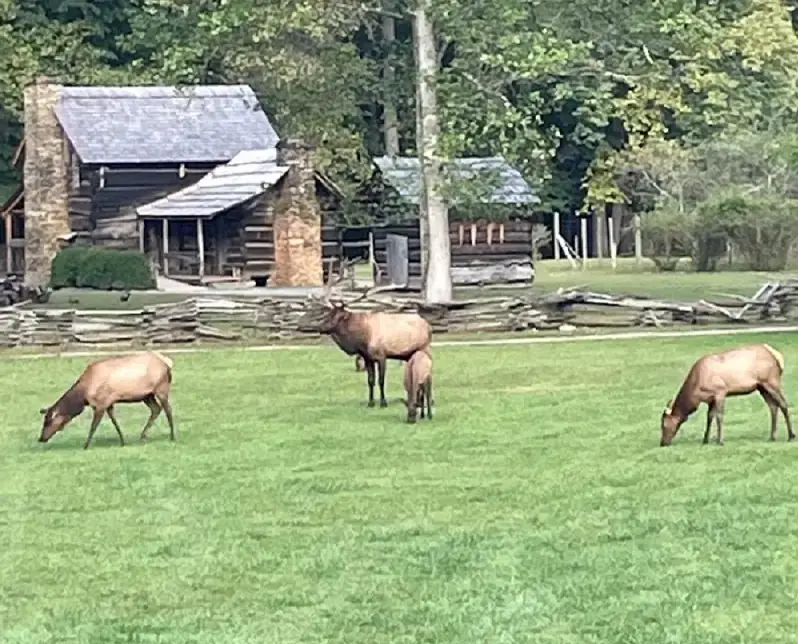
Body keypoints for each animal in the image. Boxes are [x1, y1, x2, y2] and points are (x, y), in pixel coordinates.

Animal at [38, 351, 176, 450]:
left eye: (47, 422)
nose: (41, 438)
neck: (83, 396)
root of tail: (167, 364)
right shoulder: (109, 403)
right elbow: (115, 423)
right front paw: (122, 441)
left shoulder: (100, 404)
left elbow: (93, 426)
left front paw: (86, 445)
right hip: (147, 396)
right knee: (156, 409)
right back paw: (142, 436)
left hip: (161, 389)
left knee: (168, 410)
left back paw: (172, 436)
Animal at [660, 343, 794, 447]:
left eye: (664, 425)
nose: (662, 443)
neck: (696, 392)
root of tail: (777, 356)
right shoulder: (710, 399)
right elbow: (710, 416)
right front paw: (705, 440)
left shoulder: (720, 392)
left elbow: (719, 416)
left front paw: (720, 441)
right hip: (762, 387)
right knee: (773, 407)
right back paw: (772, 436)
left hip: (771, 381)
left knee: (783, 404)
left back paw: (791, 436)